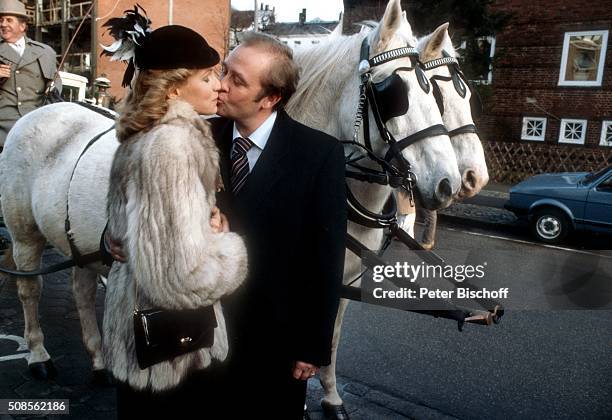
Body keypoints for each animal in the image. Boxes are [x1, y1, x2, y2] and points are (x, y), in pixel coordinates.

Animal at [284, 0, 462, 416]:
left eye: (433, 93)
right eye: (395, 93)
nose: (450, 183)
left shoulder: (342, 280)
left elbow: (330, 335)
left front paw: (331, 397)